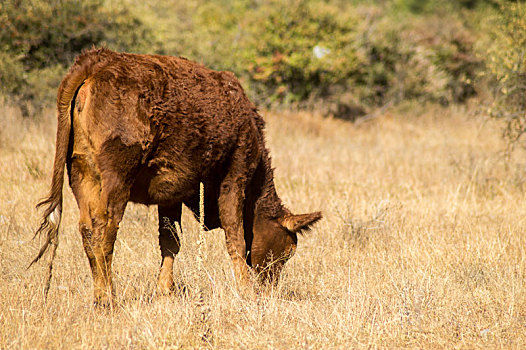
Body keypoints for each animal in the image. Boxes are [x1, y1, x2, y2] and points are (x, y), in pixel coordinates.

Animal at [34, 47, 322, 306]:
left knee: (86, 230)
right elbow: (236, 238)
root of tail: (97, 61)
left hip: (80, 173)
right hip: (117, 178)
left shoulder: (170, 194)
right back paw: (108, 299)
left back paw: (98, 297)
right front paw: (246, 292)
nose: (269, 288)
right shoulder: (234, 177)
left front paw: (164, 291)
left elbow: (170, 241)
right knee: (104, 230)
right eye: (287, 251)